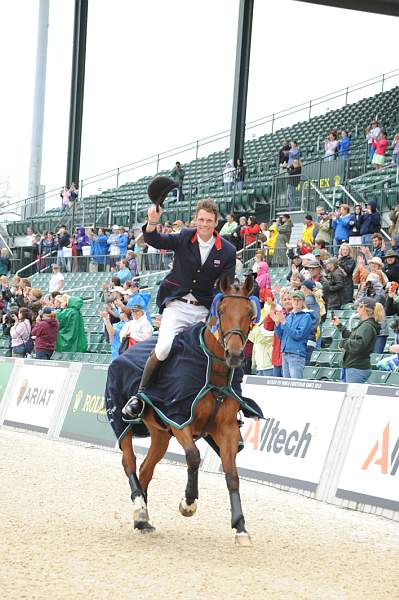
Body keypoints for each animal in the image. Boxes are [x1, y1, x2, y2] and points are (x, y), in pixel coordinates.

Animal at [119, 274, 256, 548]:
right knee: (130, 463)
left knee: (145, 470)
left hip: (160, 435)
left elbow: (232, 476)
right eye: (222, 310)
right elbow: (193, 456)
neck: (213, 372)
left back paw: (143, 521)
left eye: (249, 312)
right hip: (124, 426)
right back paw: (139, 508)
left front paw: (240, 528)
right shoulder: (179, 419)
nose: (235, 354)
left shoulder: (227, 430)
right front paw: (188, 502)